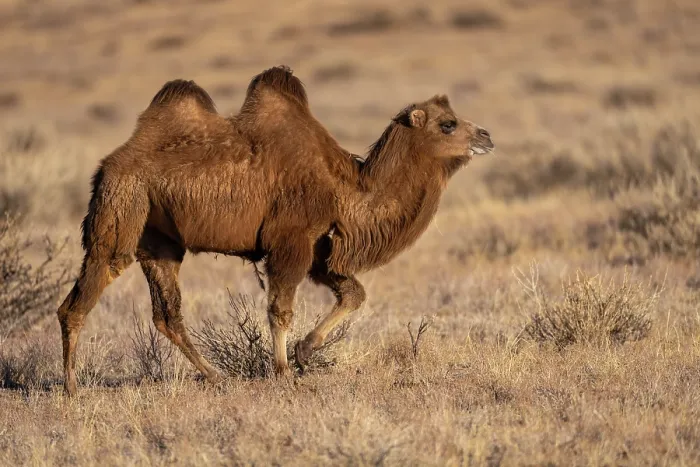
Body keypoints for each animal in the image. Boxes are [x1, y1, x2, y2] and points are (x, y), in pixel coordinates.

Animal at [56, 66, 494, 396]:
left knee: (167, 315)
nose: (487, 136)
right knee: (80, 298)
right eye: (448, 124)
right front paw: (283, 371)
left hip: (159, 240)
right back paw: (73, 389)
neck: (345, 187)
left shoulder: (319, 246)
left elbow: (354, 293)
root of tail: (107, 166)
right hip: (122, 207)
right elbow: (280, 310)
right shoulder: (291, 240)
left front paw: (304, 352)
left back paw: (215, 376)